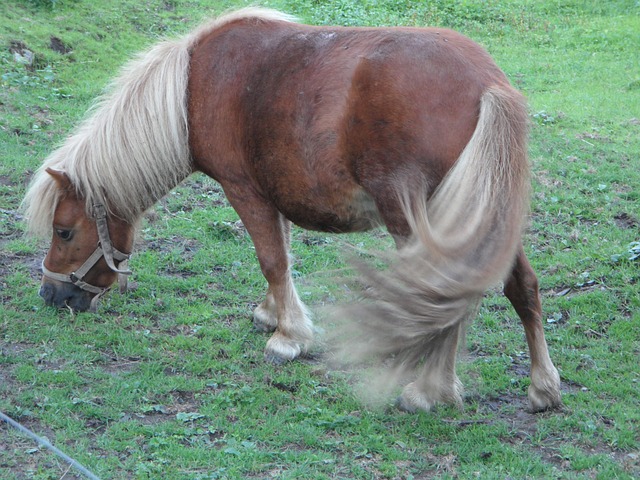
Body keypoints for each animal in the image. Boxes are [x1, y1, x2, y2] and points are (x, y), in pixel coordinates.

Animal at [21, 7, 560, 412]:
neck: (194, 85)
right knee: (521, 287)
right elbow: (280, 256)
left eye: (64, 231)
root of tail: (488, 84)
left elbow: (272, 260)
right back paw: (542, 387)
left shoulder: (244, 191)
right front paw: (273, 315)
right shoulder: (271, 194)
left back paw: (430, 391)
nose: (50, 295)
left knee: (443, 292)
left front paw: (288, 338)